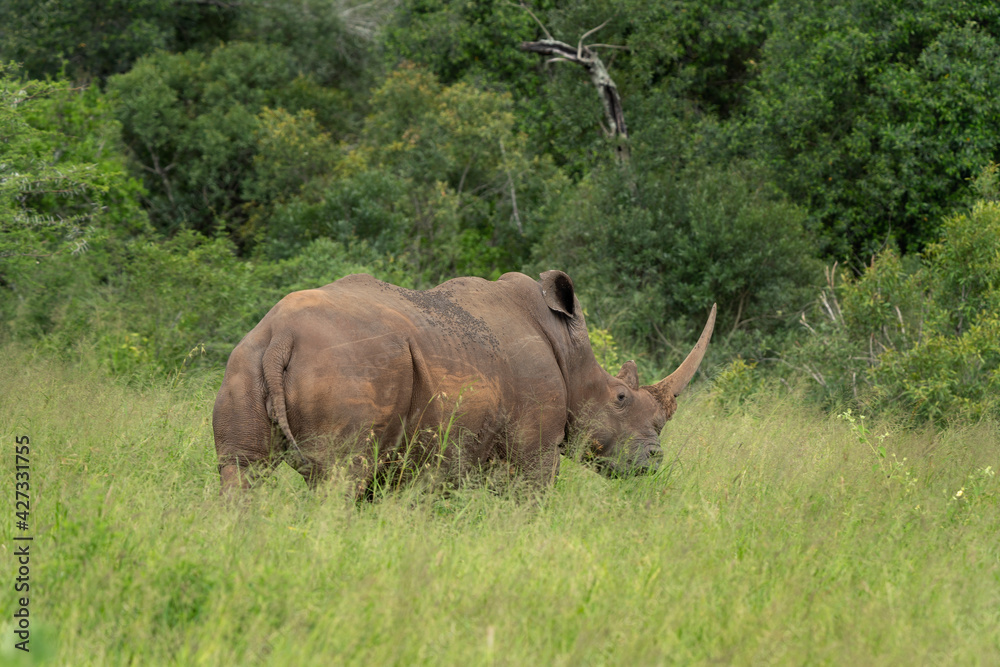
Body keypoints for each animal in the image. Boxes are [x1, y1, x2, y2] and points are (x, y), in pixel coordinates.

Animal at [213, 271, 715, 495]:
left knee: (242, 471)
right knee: (341, 475)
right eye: (620, 397)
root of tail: (281, 335)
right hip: (349, 366)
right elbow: (532, 495)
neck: (571, 354)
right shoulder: (533, 446)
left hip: (245, 361)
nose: (654, 461)